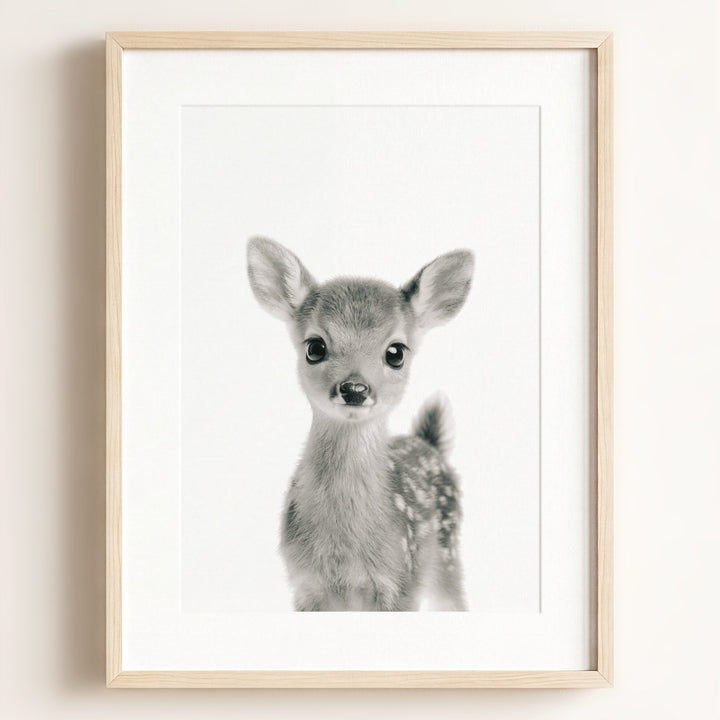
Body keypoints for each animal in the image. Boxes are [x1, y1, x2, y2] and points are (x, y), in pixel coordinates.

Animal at [246, 237, 474, 611]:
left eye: (396, 352)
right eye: (315, 347)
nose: (354, 388)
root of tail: (429, 442)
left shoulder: (401, 581)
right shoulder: (305, 585)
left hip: (447, 555)